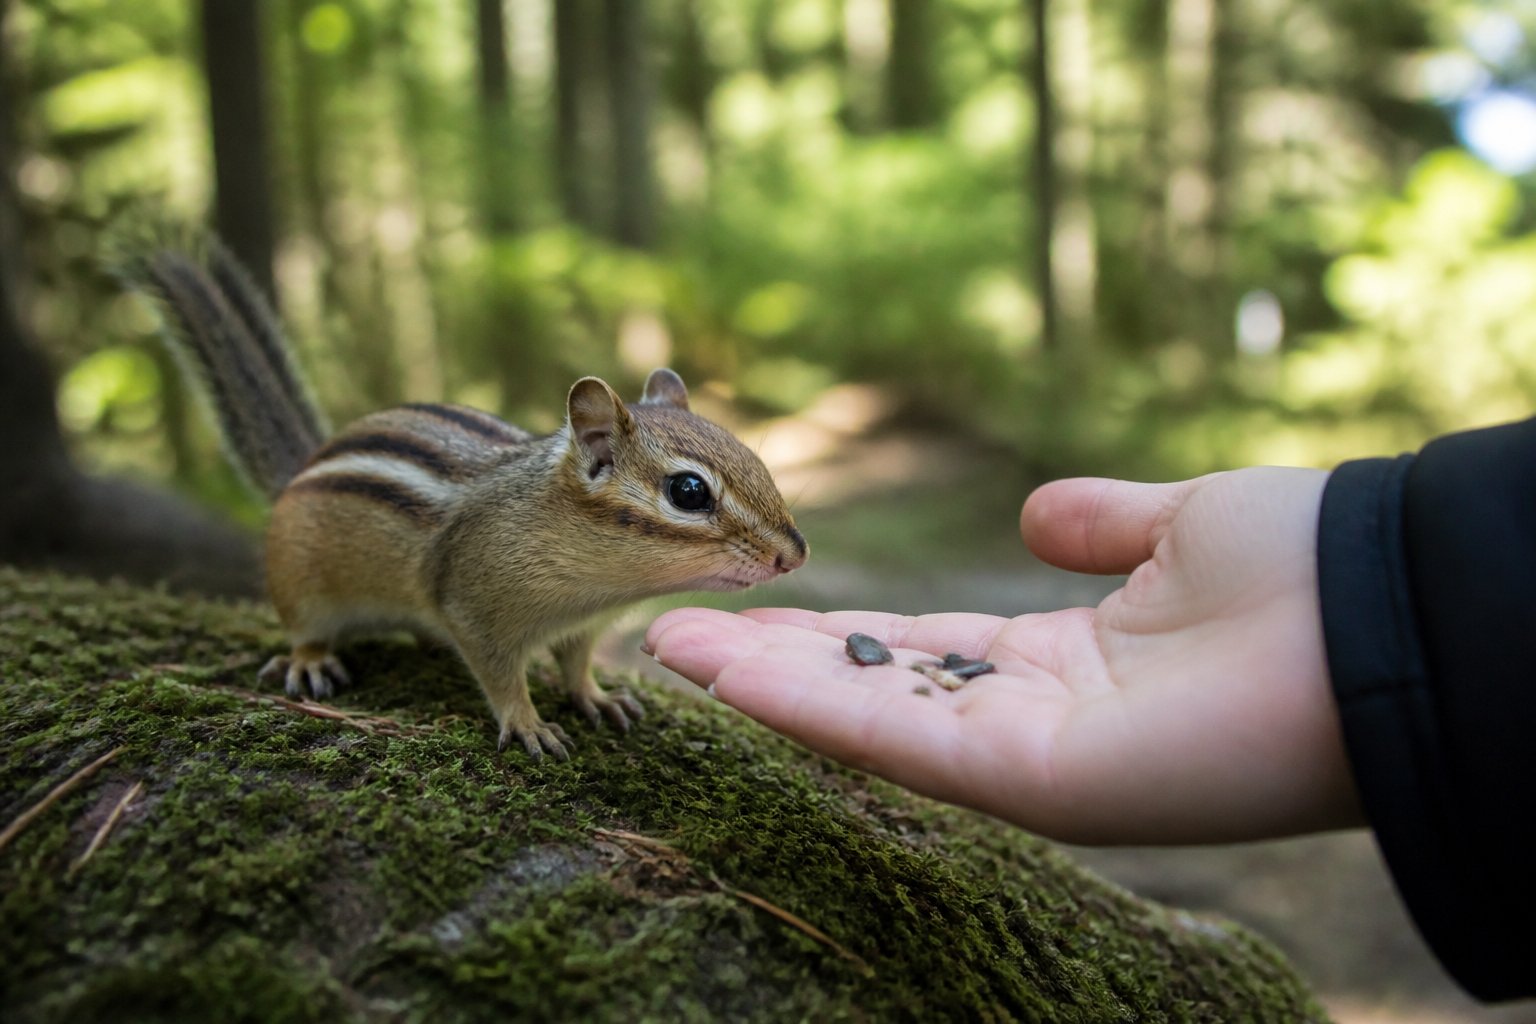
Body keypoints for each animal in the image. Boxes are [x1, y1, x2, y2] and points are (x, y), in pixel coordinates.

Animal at [110, 228, 807, 759]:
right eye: (689, 491)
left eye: (752, 456)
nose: (794, 555)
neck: (596, 581)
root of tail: (300, 469)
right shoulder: (474, 607)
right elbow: (500, 677)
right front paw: (528, 724)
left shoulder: (581, 626)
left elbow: (576, 663)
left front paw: (596, 698)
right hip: (300, 584)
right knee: (305, 628)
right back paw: (310, 660)